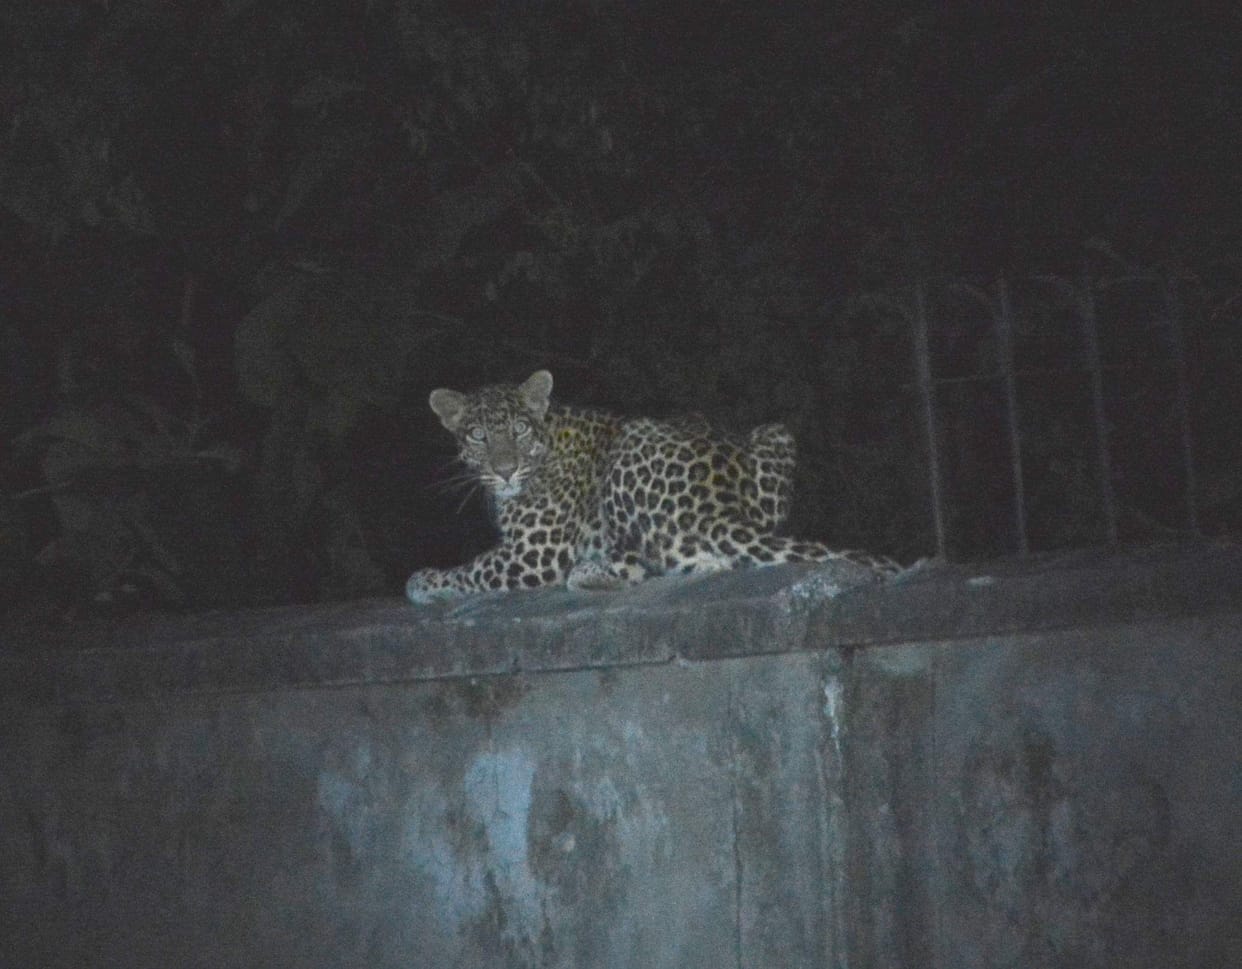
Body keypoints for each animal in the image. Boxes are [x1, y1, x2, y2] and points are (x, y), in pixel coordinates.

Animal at [405, 369, 898, 604]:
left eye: (519, 429)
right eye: (478, 436)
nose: (505, 470)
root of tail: (722, 502)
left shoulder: (533, 554)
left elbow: (473, 569)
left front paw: (424, 581)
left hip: (628, 449)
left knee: (650, 564)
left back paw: (588, 572)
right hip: (775, 432)